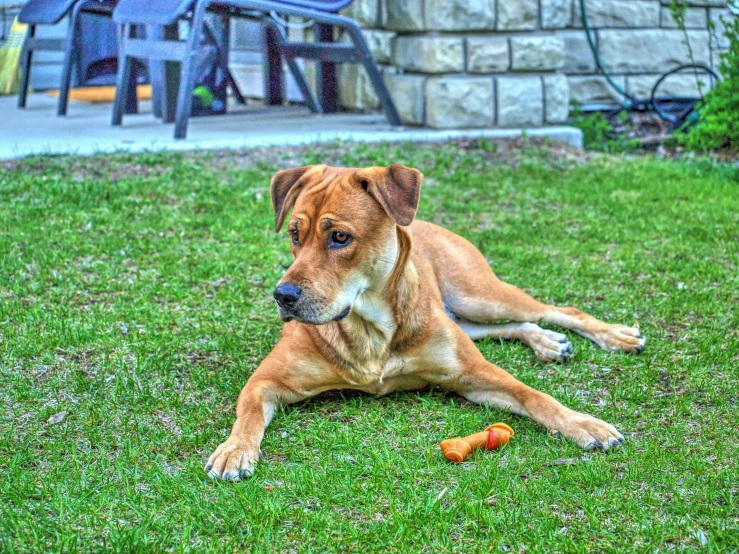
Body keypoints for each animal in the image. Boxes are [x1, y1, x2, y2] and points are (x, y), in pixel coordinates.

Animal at [205, 164, 644, 478]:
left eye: (340, 238)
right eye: (295, 234)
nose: (283, 296)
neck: (370, 330)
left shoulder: (474, 373)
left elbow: (534, 396)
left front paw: (583, 423)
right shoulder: (266, 380)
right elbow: (249, 413)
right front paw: (234, 450)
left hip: (479, 295)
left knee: (557, 311)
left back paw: (615, 335)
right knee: (512, 326)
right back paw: (547, 342)